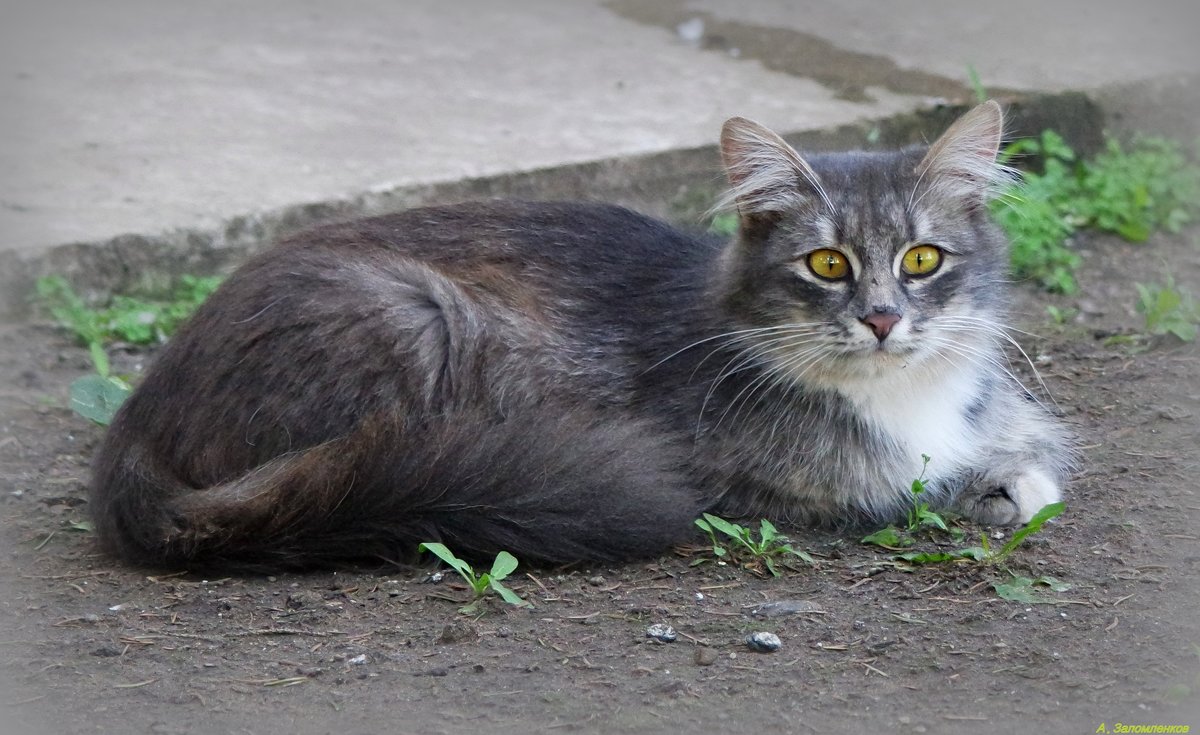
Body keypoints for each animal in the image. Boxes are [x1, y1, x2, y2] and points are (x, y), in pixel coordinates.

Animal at [88, 100, 1075, 569]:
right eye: (827, 264)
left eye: (921, 259)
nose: (880, 317)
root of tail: (136, 418)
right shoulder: (751, 485)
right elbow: (918, 491)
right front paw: (988, 492)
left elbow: (1028, 468)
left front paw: (1010, 477)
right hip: (414, 321)